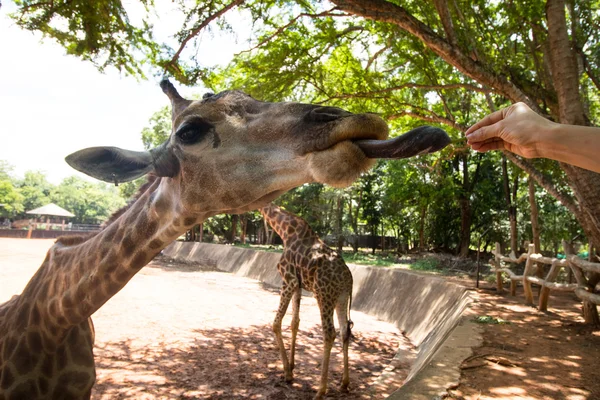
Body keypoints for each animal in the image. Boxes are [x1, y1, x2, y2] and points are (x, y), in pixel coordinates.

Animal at [260, 205, 354, 398]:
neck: (284, 230)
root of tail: (348, 277)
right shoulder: (298, 285)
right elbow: (295, 322)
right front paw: (291, 366)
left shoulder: (288, 280)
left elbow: (276, 323)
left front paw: (287, 373)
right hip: (342, 298)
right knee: (344, 331)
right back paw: (344, 383)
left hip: (324, 295)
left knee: (330, 333)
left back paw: (320, 391)